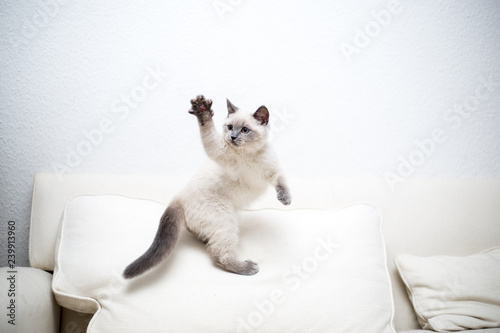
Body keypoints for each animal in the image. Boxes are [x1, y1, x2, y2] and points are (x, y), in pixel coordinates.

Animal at [122, 94, 292, 276]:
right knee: (218, 255)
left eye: (245, 130)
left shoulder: (274, 172)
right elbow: (209, 134)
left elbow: (282, 183)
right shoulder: (219, 151)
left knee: (206, 240)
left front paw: (285, 199)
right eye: (230, 127)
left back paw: (205, 239)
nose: (232, 137)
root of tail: (178, 198)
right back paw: (247, 267)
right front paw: (203, 111)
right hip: (226, 219)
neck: (249, 154)